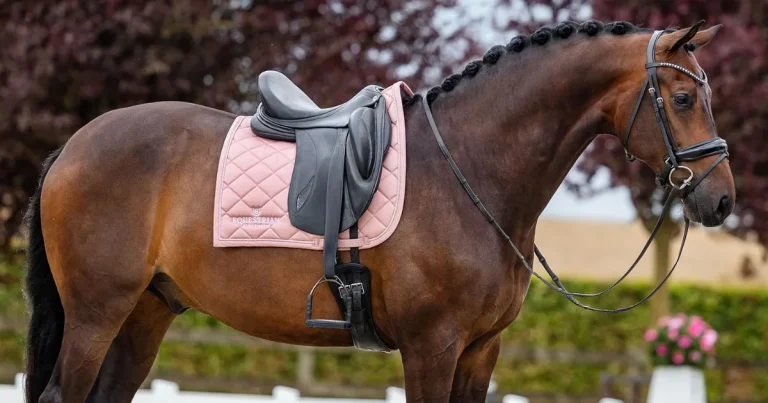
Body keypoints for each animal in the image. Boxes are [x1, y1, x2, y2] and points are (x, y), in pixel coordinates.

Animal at [23, 20, 733, 403]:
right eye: (680, 98)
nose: (721, 198)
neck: (468, 167)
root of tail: (73, 147)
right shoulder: (432, 346)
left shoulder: (481, 350)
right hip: (97, 312)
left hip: (145, 313)